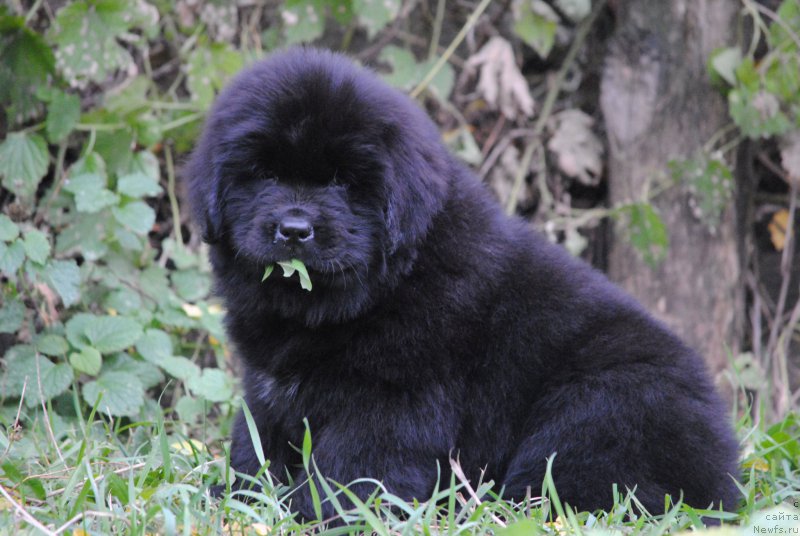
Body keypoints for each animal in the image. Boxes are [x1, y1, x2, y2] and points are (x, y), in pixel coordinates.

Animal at [186, 47, 736, 520]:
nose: (295, 229)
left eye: (342, 182)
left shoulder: (391, 400)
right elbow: (257, 444)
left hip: (606, 406)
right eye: (264, 173)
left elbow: (352, 470)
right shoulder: (268, 388)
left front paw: (313, 513)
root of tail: (726, 475)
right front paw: (235, 496)